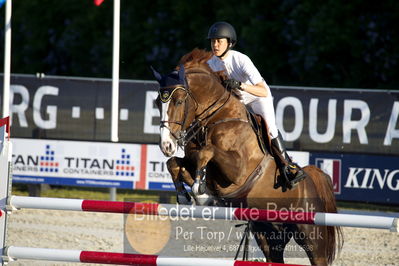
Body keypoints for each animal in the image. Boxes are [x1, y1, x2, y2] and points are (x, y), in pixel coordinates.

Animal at [153, 48, 344, 264]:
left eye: (178, 101)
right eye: (157, 103)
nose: (166, 145)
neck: (215, 119)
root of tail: (312, 179)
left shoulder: (237, 172)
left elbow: (207, 152)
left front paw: (198, 189)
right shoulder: (196, 162)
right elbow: (174, 163)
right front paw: (187, 194)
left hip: (311, 236)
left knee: (317, 256)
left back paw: (292, 173)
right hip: (268, 233)